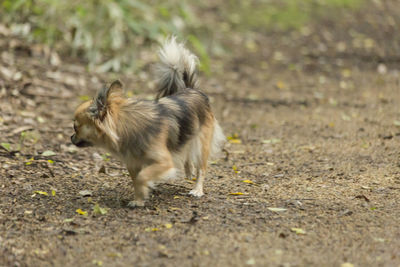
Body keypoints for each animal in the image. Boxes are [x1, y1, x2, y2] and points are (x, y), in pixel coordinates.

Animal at [70, 37, 223, 207]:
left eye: (76, 127)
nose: (71, 138)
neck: (127, 126)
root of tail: (192, 89)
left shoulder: (164, 162)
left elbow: (142, 177)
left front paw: (144, 191)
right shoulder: (133, 163)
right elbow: (136, 179)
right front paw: (138, 200)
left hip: (203, 144)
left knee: (201, 168)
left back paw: (197, 190)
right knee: (186, 151)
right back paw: (188, 170)